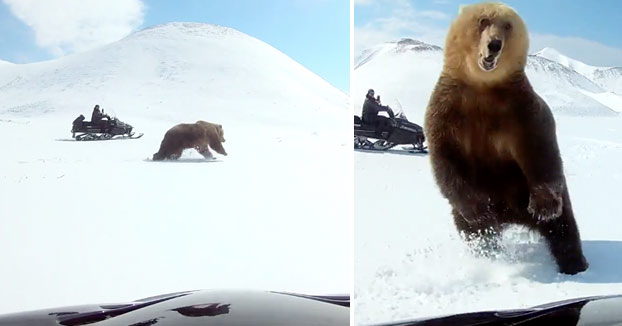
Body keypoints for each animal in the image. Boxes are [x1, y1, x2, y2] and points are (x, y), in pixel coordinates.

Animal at [424, 2, 588, 276]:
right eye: (483, 20)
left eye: (508, 25)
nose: (494, 44)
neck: (483, 87)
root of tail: (511, 216)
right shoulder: (447, 108)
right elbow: (445, 156)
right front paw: (478, 210)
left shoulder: (521, 110)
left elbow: (541, 151)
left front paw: (544, 207)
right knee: (473, 230)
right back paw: (488, 250)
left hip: (523, 189)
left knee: (563, 226)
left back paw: (575, 263)